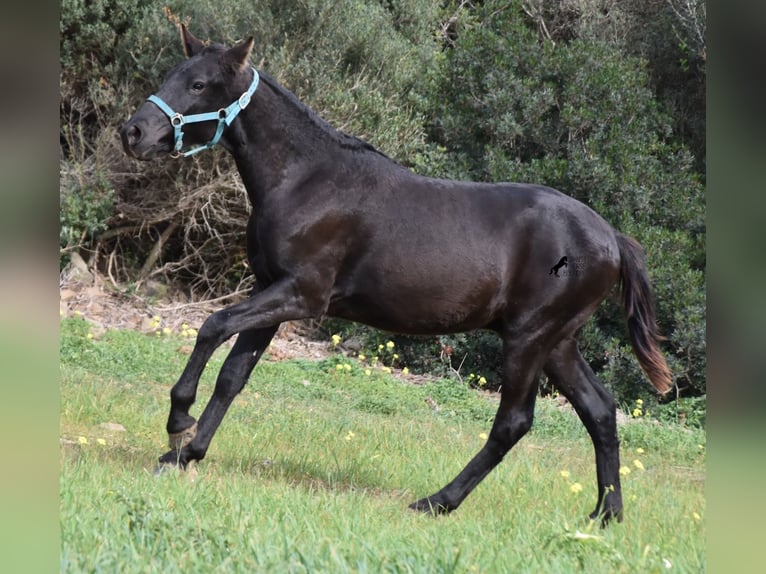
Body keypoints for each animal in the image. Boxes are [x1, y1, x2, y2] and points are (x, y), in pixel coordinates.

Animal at [120, 27, 672, 528]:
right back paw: (605, 515)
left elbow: (211, 327)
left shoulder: (302, 295)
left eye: (200, 83)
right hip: (558, 343)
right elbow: (234, 376)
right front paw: (185, 454)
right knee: (600, 410)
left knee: (512, 424)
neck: (308, 179)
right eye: (171, 74)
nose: (133, 133)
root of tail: (611, 237)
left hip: (528, 339)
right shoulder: (269, 290)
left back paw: (436, 502)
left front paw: (178, 423)